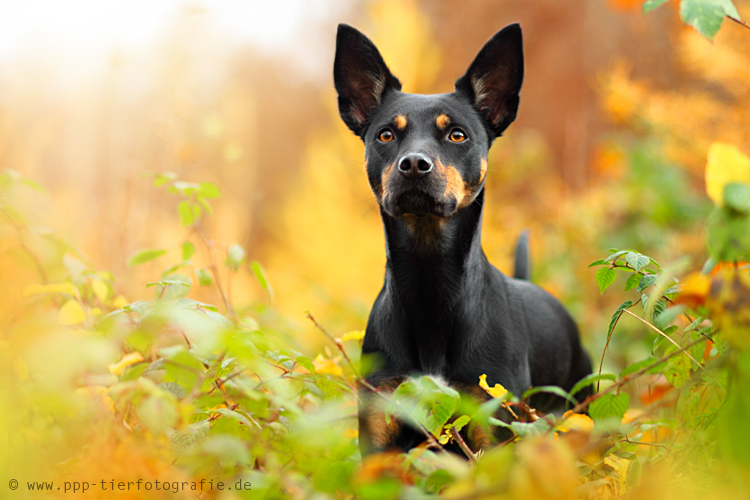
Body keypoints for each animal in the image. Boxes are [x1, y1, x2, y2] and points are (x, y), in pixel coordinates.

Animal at [334, 22, 592, 454]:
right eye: (385, 135)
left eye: (457, 135)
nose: (414, 164)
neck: (430, 285)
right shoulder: (379, 431)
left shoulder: (494, 422)